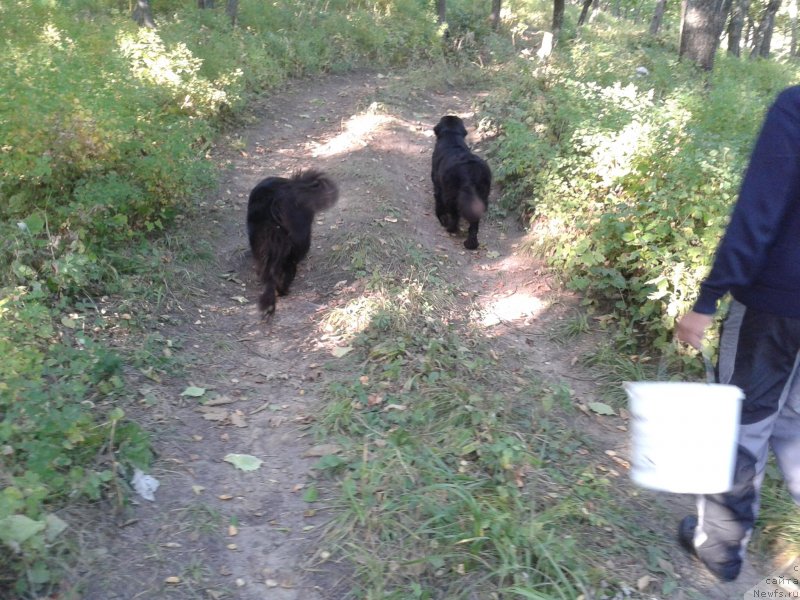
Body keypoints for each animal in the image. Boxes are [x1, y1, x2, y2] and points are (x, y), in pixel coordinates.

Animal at [428, 115, 490, 248]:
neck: (452, 137)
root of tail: (469, 171)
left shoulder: (438, 185)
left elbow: (439, 205)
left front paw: (440, 217)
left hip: (450, 195)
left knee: (455, 215)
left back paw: (450, 228)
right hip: (482, 196)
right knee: (474, 225)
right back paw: (471, 244)